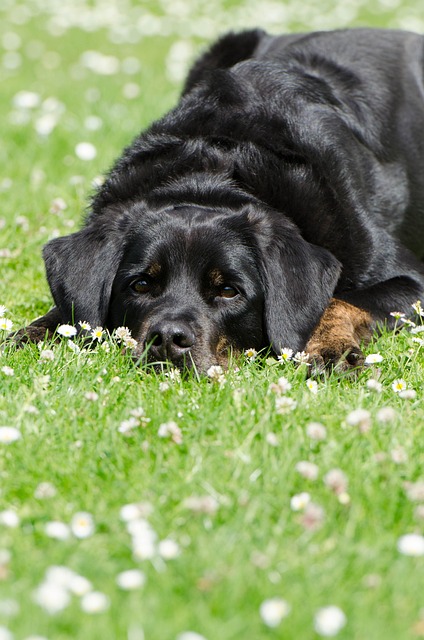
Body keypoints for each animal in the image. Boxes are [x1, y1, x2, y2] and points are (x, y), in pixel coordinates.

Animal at [14, 27, 424, 372]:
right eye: (141, 285)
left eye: (228, 291)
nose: (168, 338)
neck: (212, 171)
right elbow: (67, 310)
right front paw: (28, 336)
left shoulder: (411, 282)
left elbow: (338, 302)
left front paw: (328, 347)